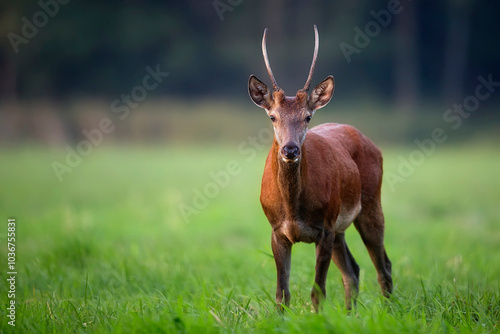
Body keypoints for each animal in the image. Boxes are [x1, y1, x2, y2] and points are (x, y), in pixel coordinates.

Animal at [248, 25, 392, 310]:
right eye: (273, 117)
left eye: (307, 117)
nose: (290, 150)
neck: (293, 209)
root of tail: (372, 144)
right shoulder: (276, 231)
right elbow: (282, 294)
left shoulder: (324, 228)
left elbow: (318, 291)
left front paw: (319, 316)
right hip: (340, 228)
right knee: (354, 270)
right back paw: (350, 313)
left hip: (370, 204)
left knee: (383, 266)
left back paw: (390, 311)